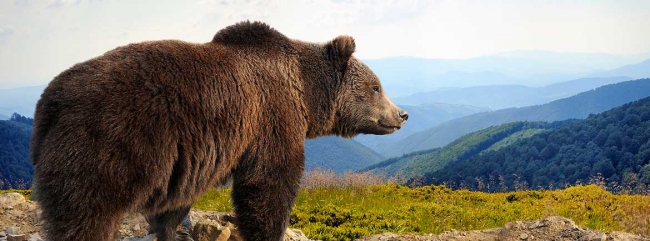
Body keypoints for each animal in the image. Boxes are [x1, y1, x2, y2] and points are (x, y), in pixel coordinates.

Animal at [31, 21, 404, 241]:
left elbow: (178, 201)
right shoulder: (271, 117)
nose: (402, 114)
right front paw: (269, 230)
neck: (306, 93)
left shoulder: (191, 158)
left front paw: (166, 227)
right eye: (376, 87)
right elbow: (270, 183)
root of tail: (50, 102)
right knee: (87, 213)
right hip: (108, 144)